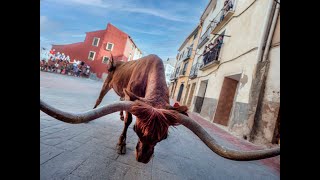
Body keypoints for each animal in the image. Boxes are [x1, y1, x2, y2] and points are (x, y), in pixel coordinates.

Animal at [40, 53, 280, 163]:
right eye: (137, 131)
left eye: (163, 137)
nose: (143, 158)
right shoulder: (132, 98)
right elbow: (129, 118)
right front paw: (121, 143)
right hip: (108, 82)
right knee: (101, 98)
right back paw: (96, 108)